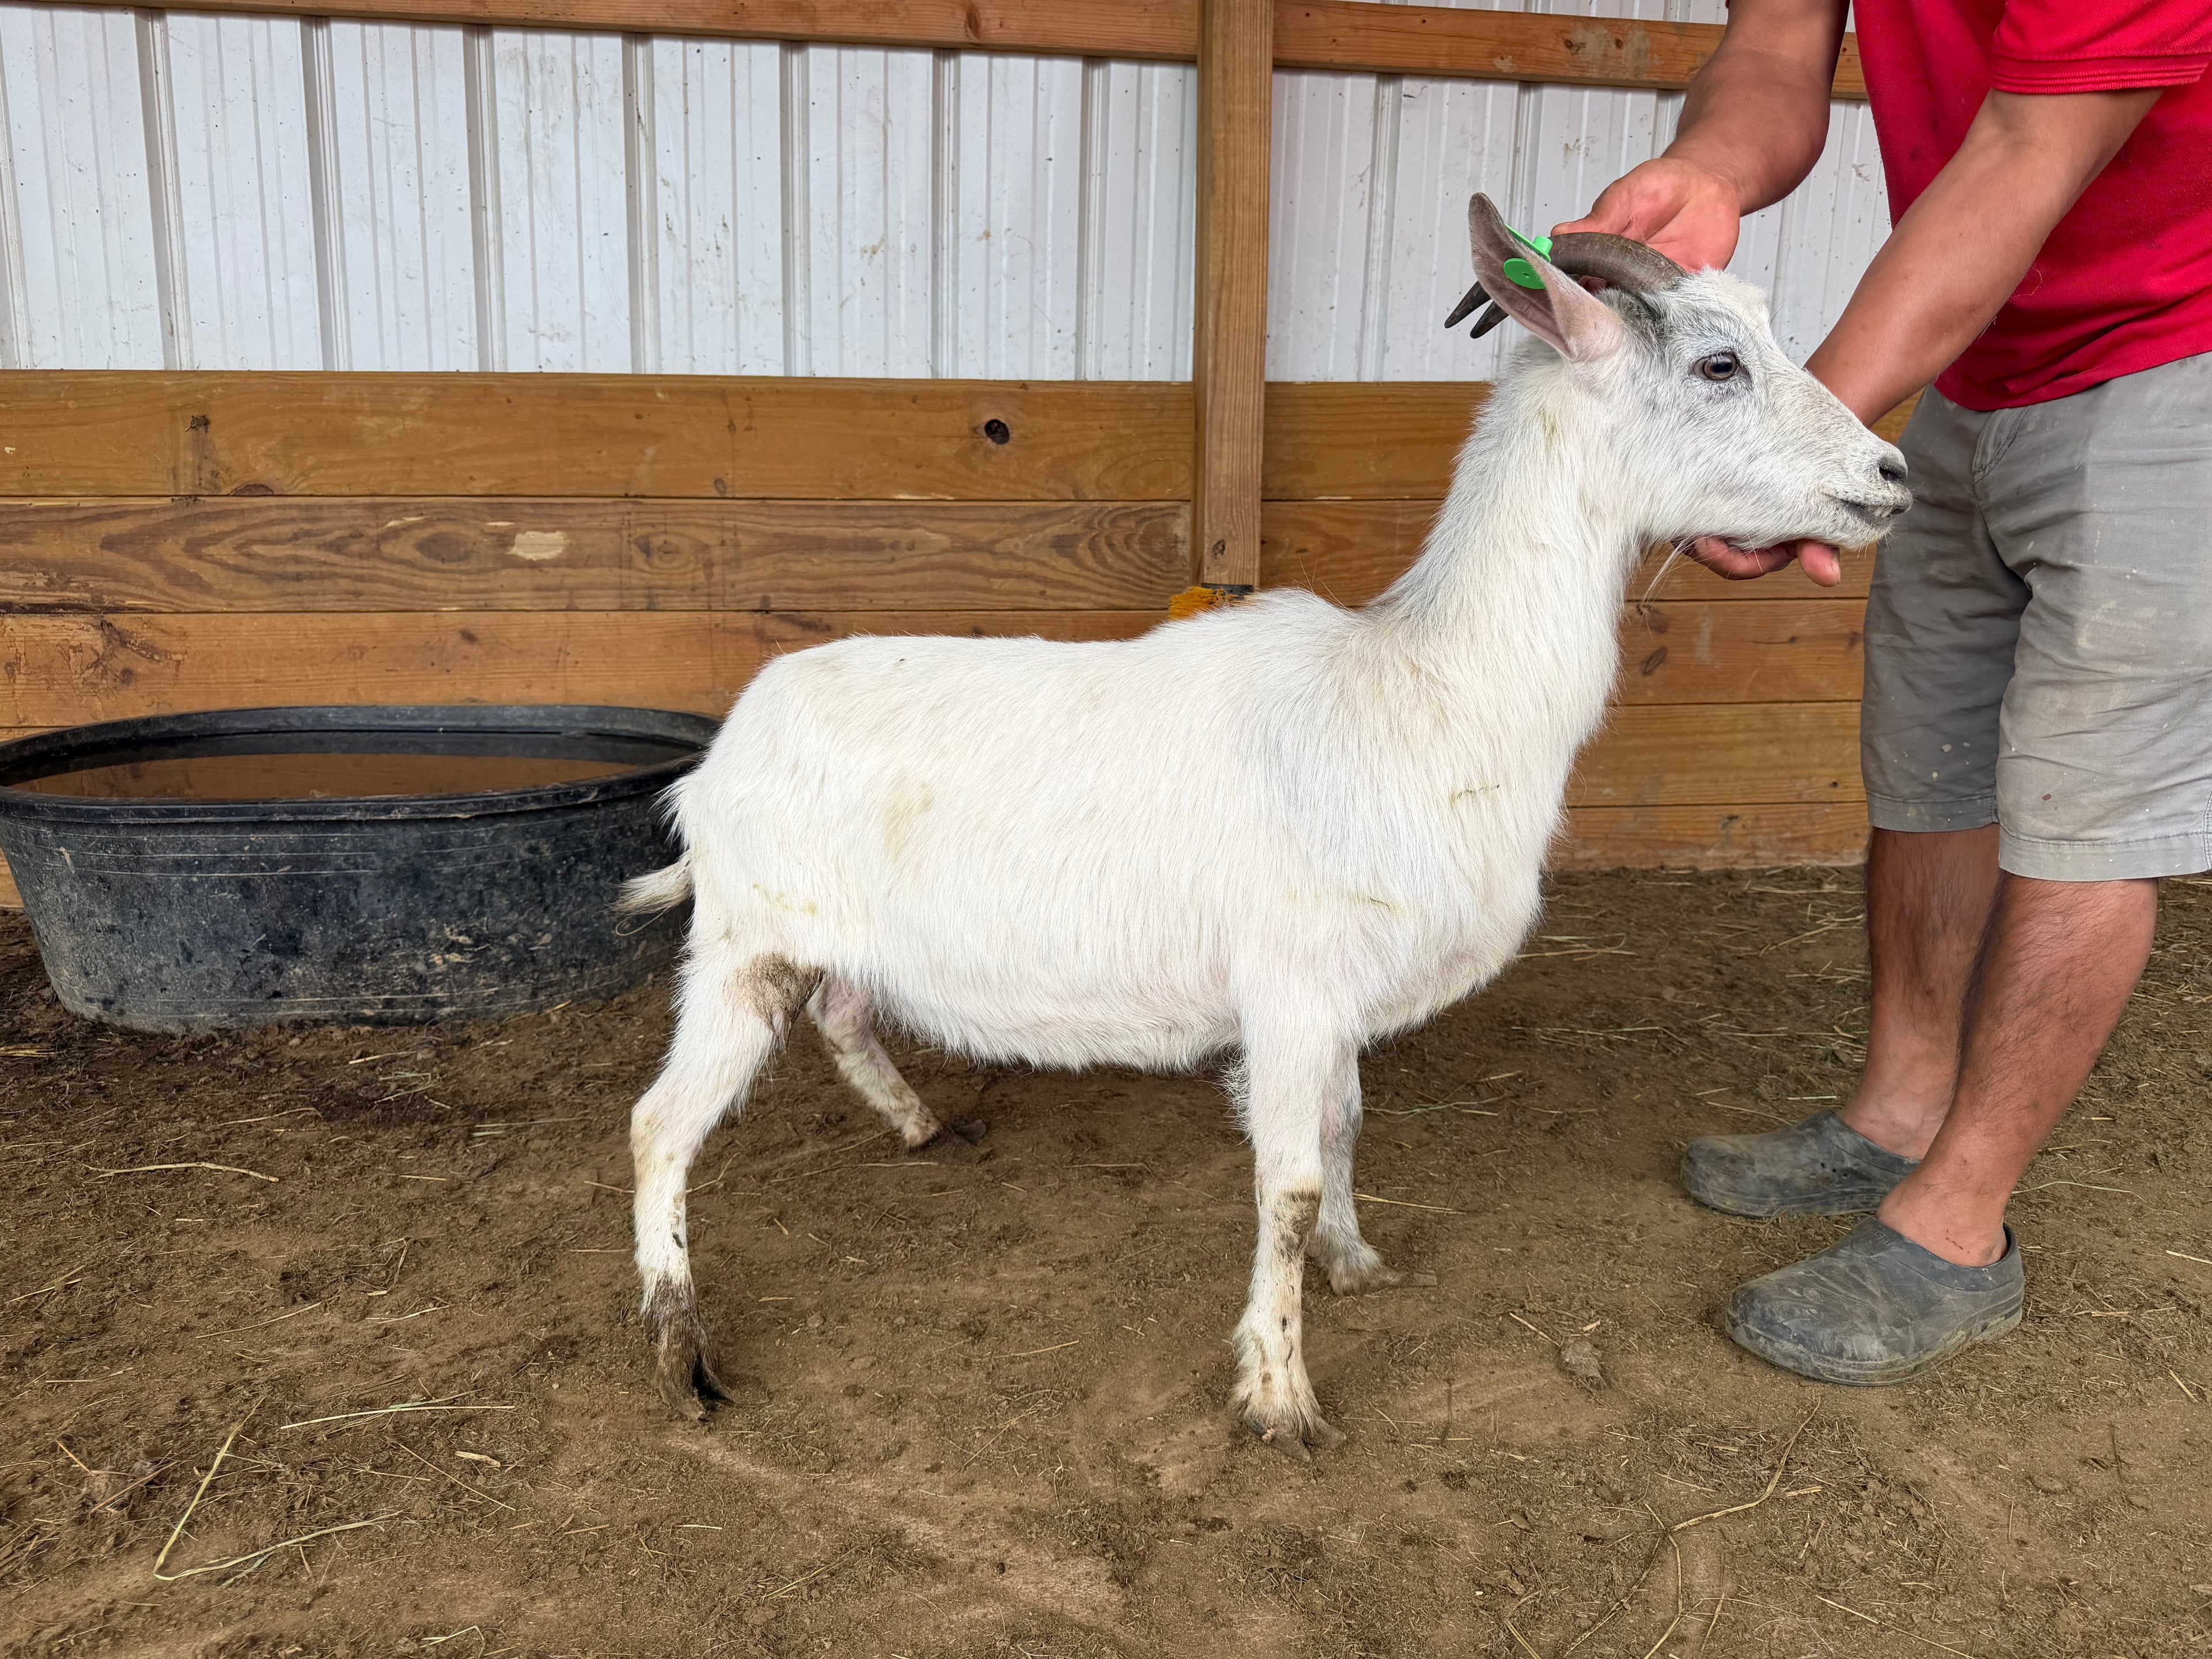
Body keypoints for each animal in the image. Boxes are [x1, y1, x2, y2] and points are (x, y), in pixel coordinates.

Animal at [622, 194, 1910, 1455]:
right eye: (1717, 363)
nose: (1893, 474)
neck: (1421, 694)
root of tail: (719, 758)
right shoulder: (1291, 986)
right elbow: (1284, 1185)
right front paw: (1282, 1396)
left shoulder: (1337, 998)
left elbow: (1344, 1131)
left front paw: (1356, 1260)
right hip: (745, 944)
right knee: (658, 1126)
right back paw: (681, 1356)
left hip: (817, 938)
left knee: (842, 1013)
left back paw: (918, 1126)